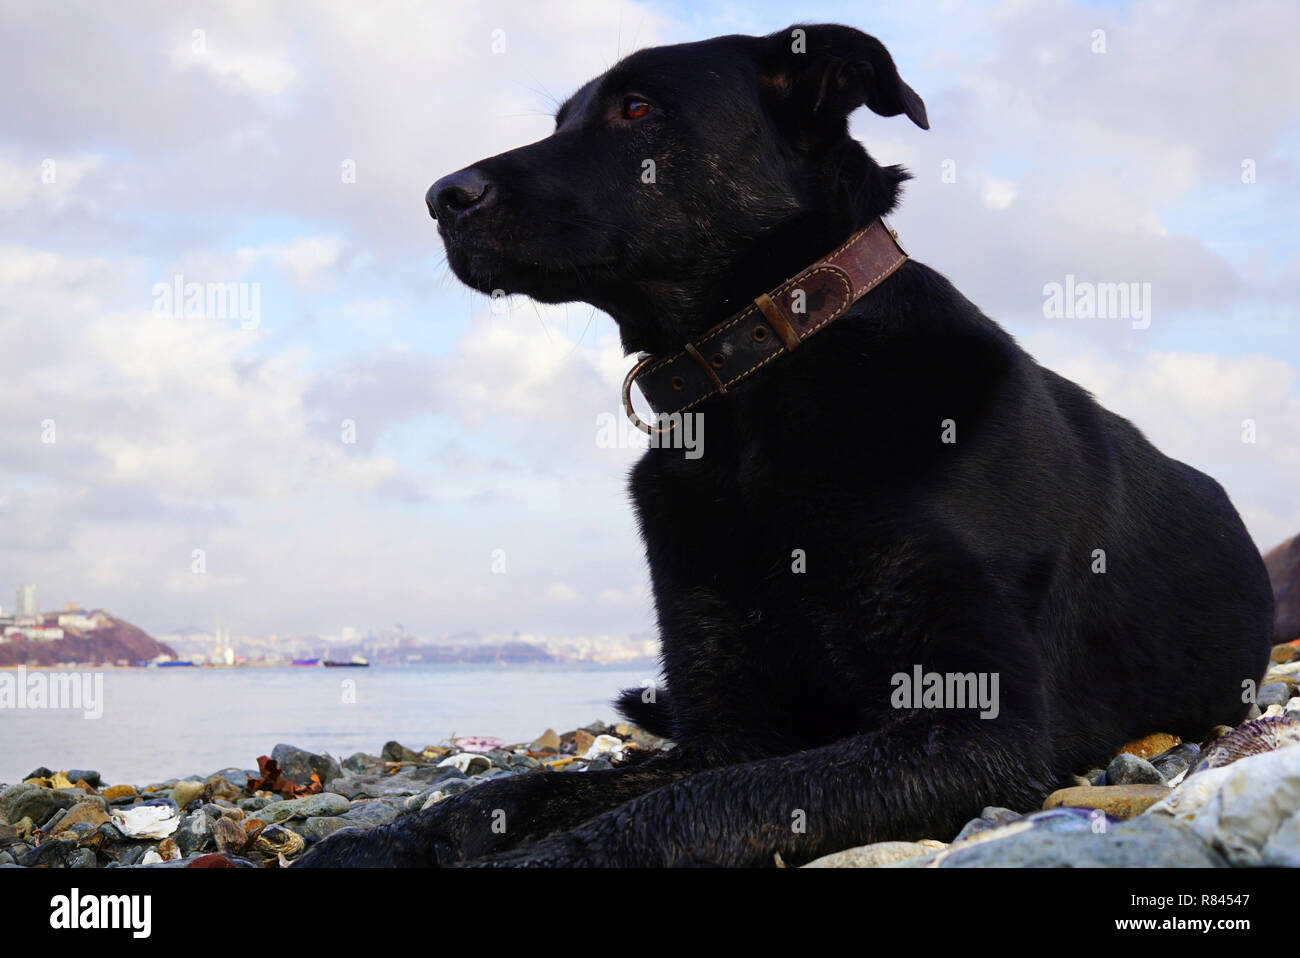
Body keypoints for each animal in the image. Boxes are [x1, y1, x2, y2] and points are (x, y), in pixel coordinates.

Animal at [295, 22, 1268, 863]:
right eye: (562, 118)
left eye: (635, 108)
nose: (440, 199)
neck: (757, 392)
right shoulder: (733, 727)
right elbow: (509, 795)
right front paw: (373, 844)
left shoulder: (974, 726)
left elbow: (686, 808)